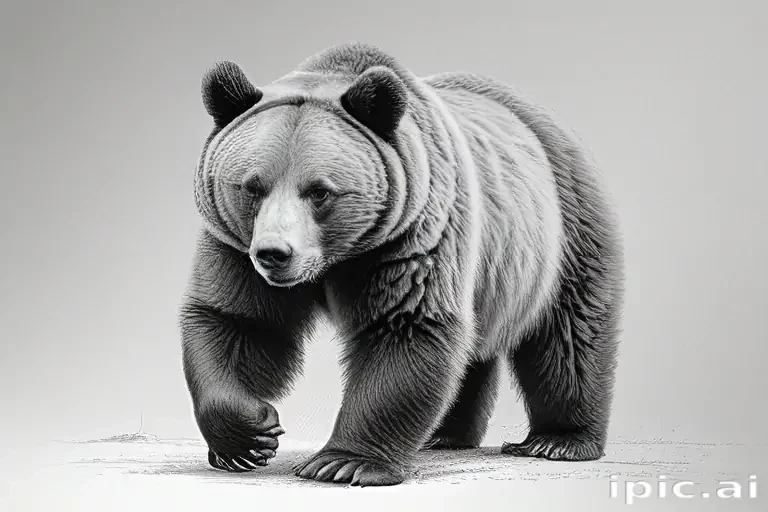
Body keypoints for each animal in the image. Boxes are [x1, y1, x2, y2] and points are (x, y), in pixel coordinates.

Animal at [179, 41, 624, 487]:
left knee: (569, 335)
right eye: (252, 186)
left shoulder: (414, 234)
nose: (275, 254)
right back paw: (444, 435)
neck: (339, 257)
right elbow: (239, 321)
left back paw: (557, 440)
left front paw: (343, 462)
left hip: (563, 228)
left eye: (320, 191)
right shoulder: (235, 246)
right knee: (472, 350)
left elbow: (406, 326)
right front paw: (250, 435)